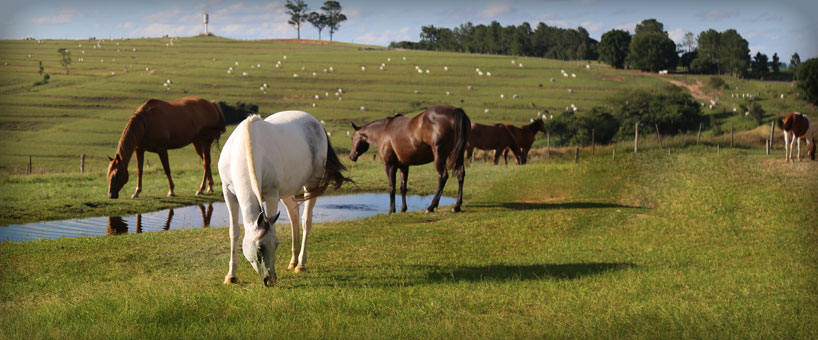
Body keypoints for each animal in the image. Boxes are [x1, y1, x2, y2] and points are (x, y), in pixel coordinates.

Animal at [218, 112, 346, 286]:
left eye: (276, 244)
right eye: (260, 248)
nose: (270, 279)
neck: (244, 149)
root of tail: (316, 122)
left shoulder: (271, 195)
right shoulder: (229, 193)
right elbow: (234, 231)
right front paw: (231, 275)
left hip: (311, 185)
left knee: (306, 220)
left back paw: (300, 264)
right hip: (285, 193)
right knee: (294, 215)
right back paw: (293, 261)